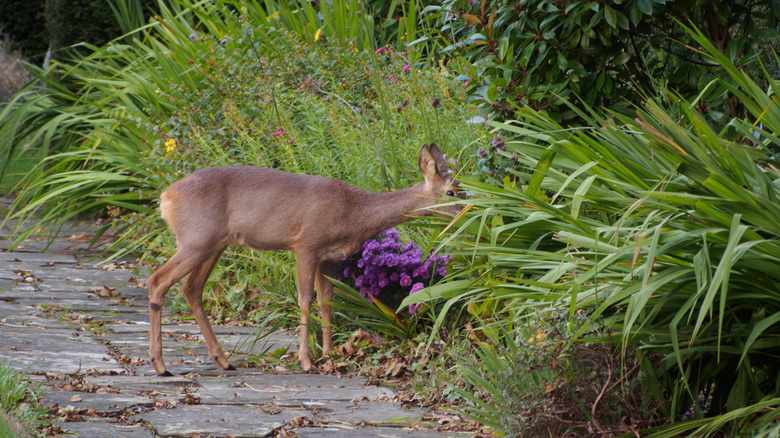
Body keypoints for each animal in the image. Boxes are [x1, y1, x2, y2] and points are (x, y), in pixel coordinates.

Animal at [147, 144, 462, 376]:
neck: (353, 213)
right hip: (197, 239)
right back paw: (161, 366)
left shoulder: (328, 258)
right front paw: (306, 361)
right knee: (157, 280)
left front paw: (329, 355)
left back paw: (223, 361)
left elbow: (326, 302)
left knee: (191, 289)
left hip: (212, 245)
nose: (468, 212)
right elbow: (304, 300)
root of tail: (165, 197)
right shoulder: (306, 245)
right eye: (451, 192)